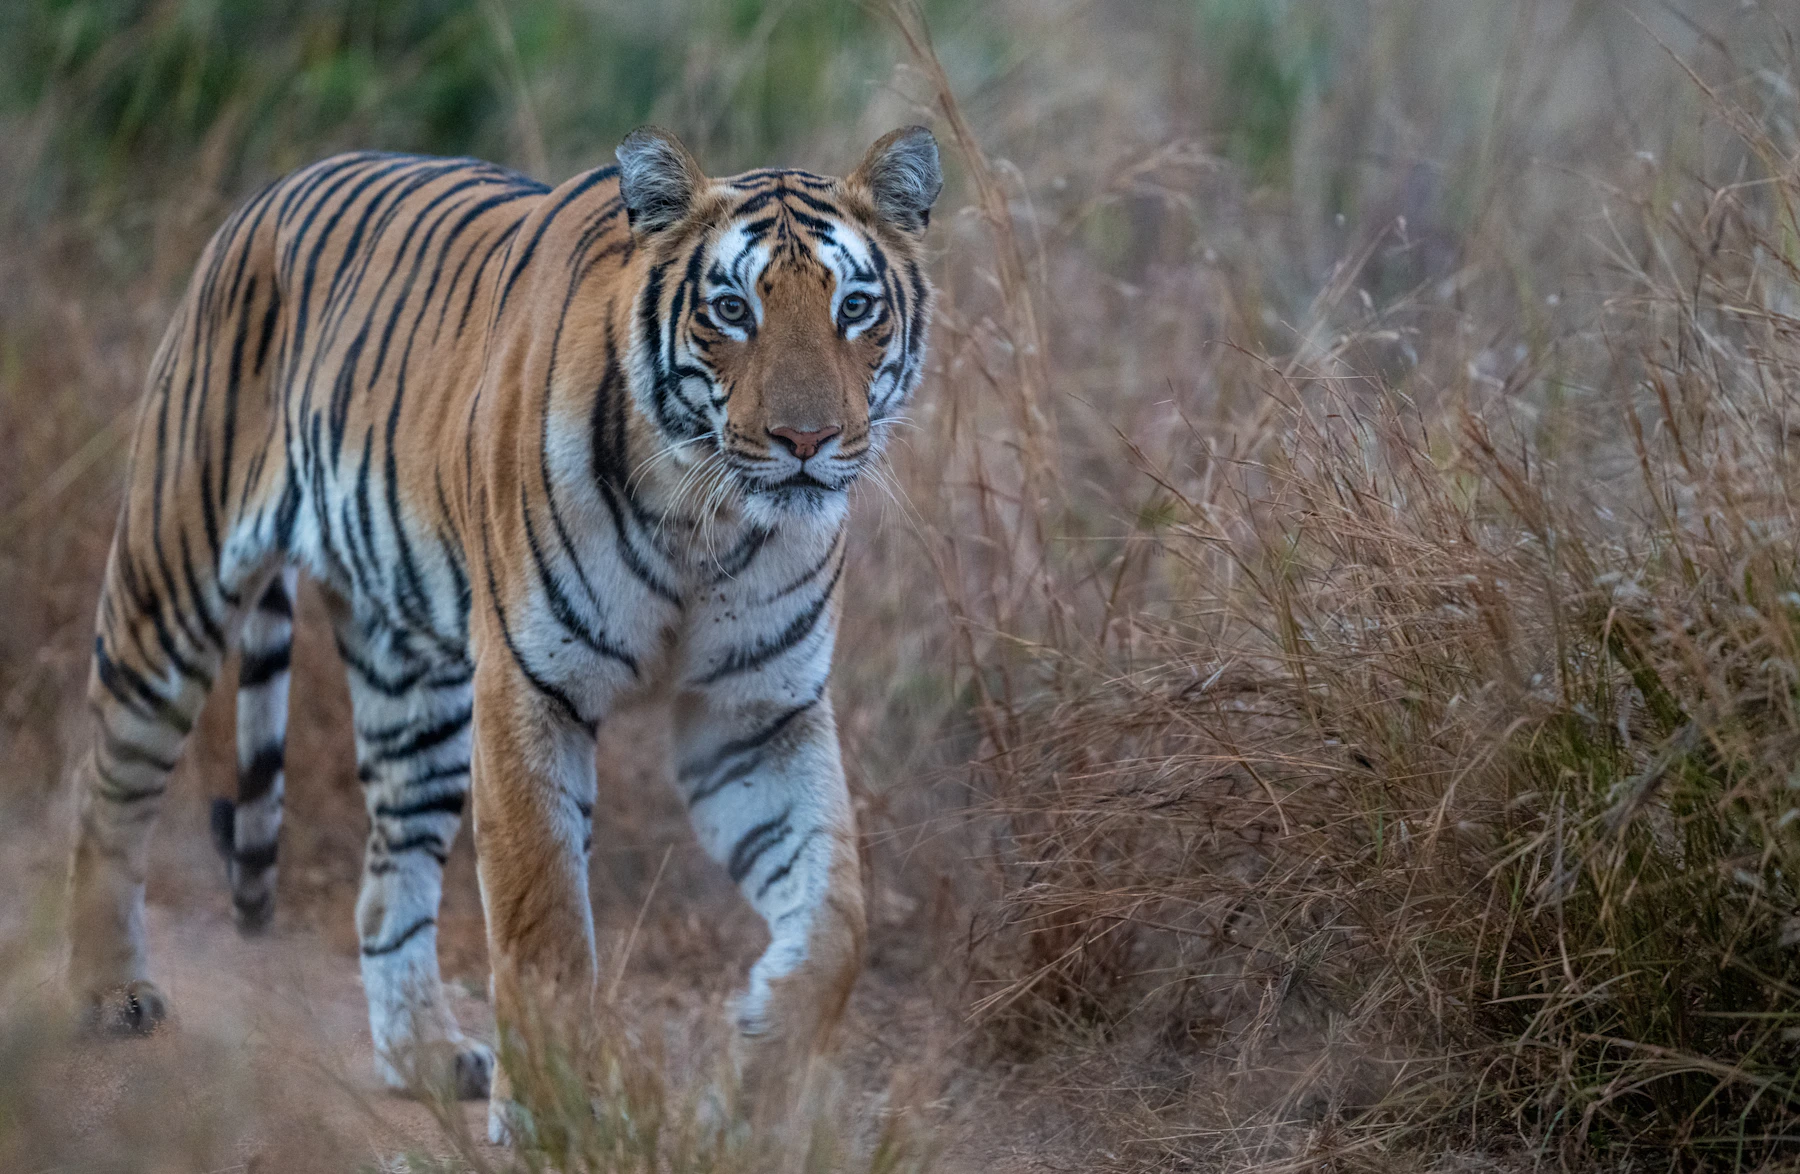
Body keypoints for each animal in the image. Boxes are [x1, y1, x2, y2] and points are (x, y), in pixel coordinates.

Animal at [64, 123, 940, 1139]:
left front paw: (752, 1077)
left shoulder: (755, 714)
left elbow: (838, 918)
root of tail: (273, 189)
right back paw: (110, 993)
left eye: (855, 308)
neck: (707, 524)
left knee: (387, 878)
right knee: (111, 788)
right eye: (731, 309)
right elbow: (543, 920)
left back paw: (424, 1055)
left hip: (412, 685)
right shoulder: (531, 687)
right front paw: (554, 1118)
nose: (806, 442)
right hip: (171, 580)